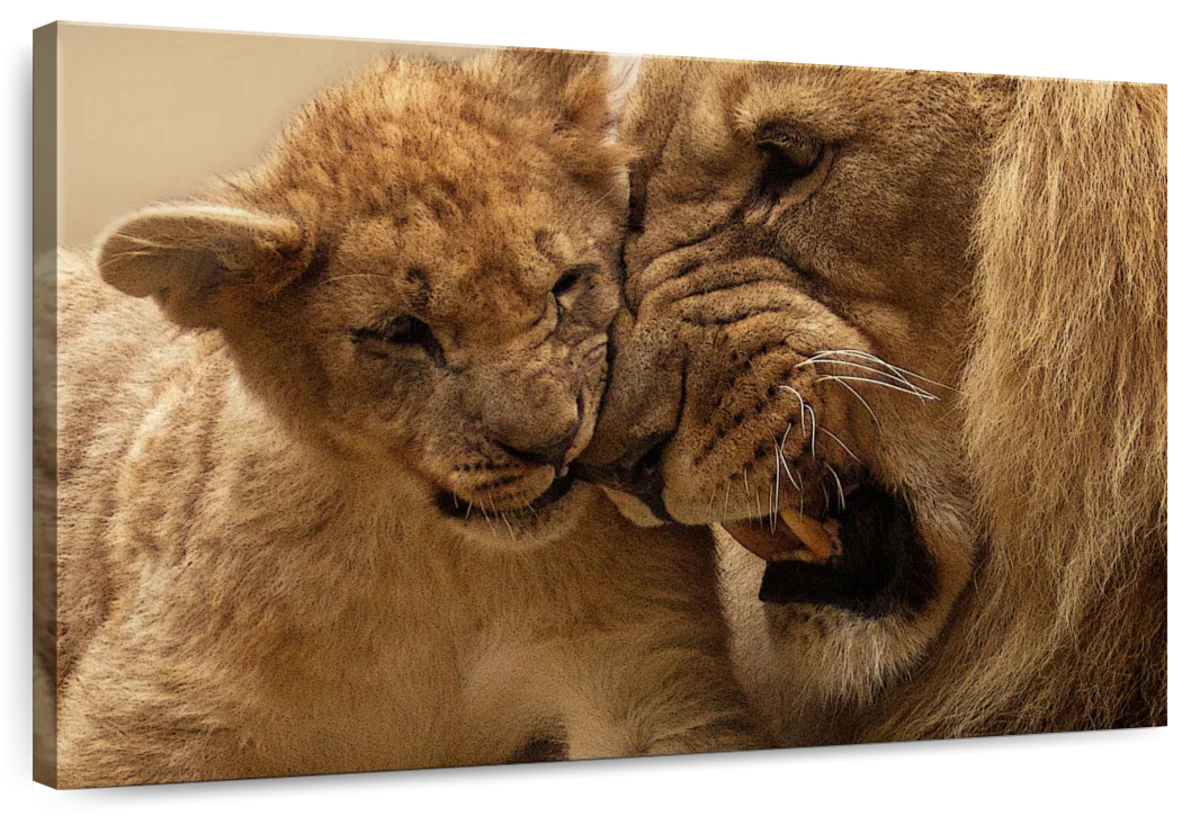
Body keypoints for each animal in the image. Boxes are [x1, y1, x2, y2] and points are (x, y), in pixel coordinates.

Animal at [33, 49, 765, 789]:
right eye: (401, 332)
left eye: (566, 284)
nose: (556, 442)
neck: (442, 564)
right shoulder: (156, 711)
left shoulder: (643, 671)